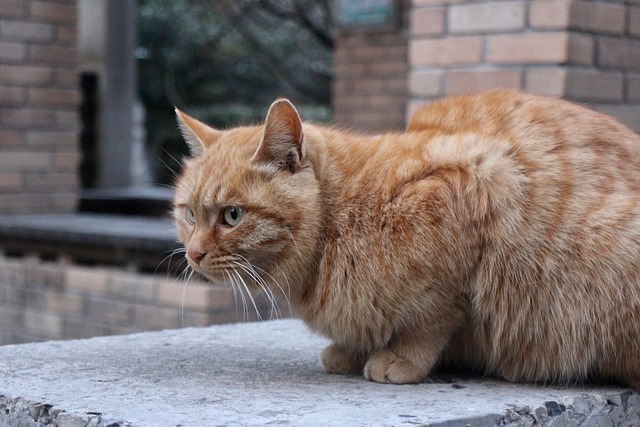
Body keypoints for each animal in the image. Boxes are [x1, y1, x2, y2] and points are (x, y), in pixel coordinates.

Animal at [174, 91, 640, 388]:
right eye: (189, 213)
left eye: (232, 215)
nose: (193, 253)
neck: (340, 219)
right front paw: (350, 350)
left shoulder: (475, 184)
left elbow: (429, 322)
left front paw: (401, 358)